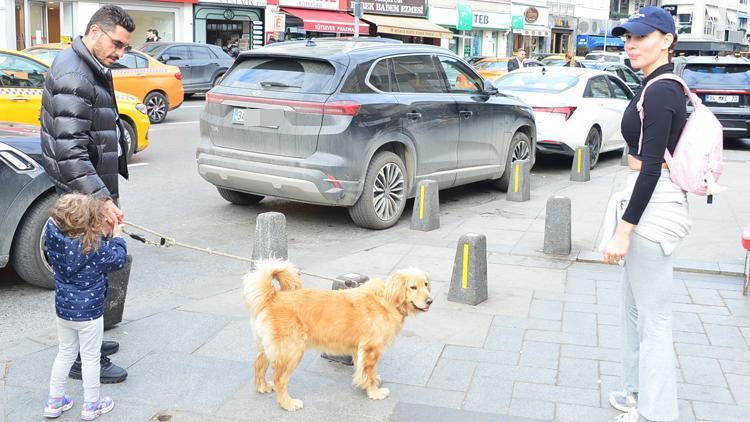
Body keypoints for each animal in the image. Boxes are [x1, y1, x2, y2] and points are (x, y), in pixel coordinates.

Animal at [244, 258, 432, 410]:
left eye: (425, 284)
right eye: (413, 287)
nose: (430, 301)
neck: (388, 300)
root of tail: (273, 297)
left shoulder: (359, 349)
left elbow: (362, 370)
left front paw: (366, 383)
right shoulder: (371, 349)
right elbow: (369, 373)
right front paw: (374, 392)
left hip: (268, 346)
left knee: (259, 364)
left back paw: (262, 387)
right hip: (291, 351)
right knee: (279, 379)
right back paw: (288, 403)